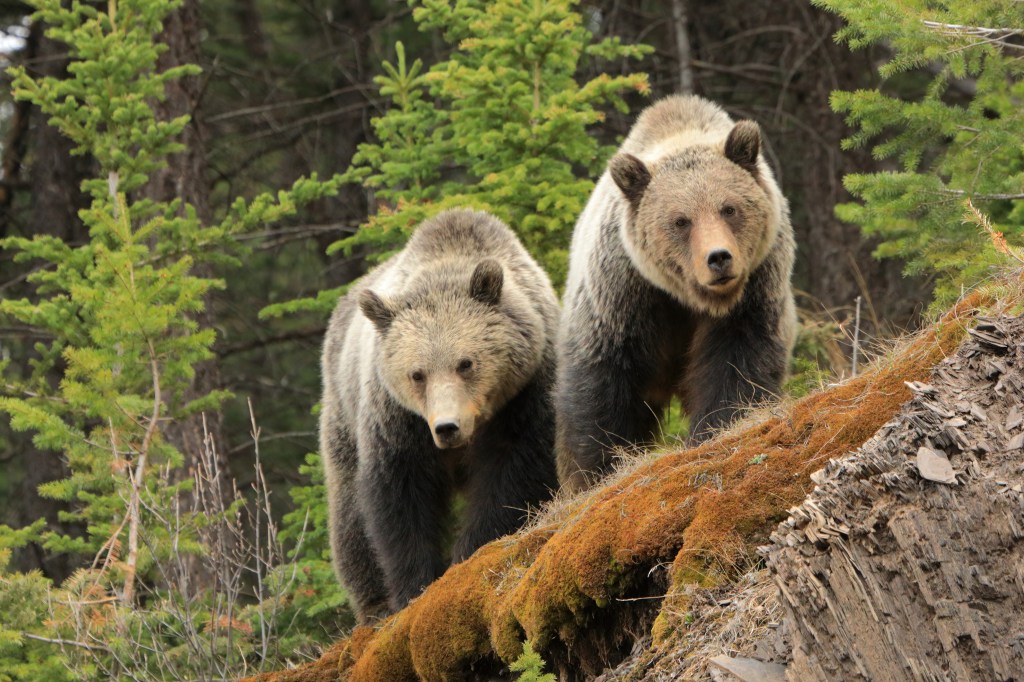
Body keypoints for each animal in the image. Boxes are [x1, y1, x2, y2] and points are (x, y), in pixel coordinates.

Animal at [320, 208, 560, 622]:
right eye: (417, 374)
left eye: (466, 363)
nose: (448, 427)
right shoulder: (398, 418)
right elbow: (399, 494)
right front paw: (412, 586)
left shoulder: (526, 393)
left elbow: (512, 473)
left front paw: (468, 551)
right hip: (342, 412)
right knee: (349, 515)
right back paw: (373, 604)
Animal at [555, 94, 797, 492]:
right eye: (681, 220)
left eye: (729, 208)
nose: (719, 258)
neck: (688, 297)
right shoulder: (624, 293)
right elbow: (602, 385)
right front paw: (600, 468)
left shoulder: (755, 288)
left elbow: (737, 364)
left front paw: (716, 426)